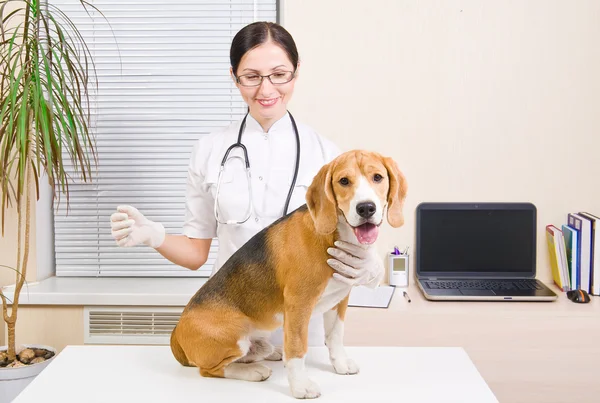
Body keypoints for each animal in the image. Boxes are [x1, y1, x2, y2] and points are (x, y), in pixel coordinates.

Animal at [170, 150, 408, 400]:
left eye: (378, 177)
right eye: (344, 181)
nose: (366, 208)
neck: (332, 236)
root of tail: (176, 332)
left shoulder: (340, 299)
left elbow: (335, 336)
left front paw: (340, 364)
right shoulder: (298, 304)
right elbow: (296, 348)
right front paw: (300, 386)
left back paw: (269, 351)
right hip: (233, 335)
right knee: (210, 370)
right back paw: (254, 370)